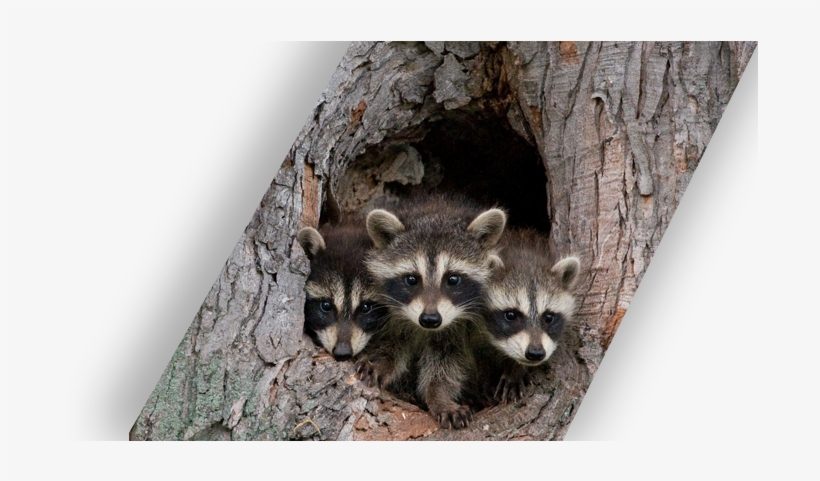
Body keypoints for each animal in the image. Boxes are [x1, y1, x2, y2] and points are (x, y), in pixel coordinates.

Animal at [358, 195, 507, 429]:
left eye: (453, 279)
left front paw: (439, 396)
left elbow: (446, 363)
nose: (429, 319)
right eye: (411, 279)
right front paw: (382, 363)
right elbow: (392, 343)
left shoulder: (457, 328)